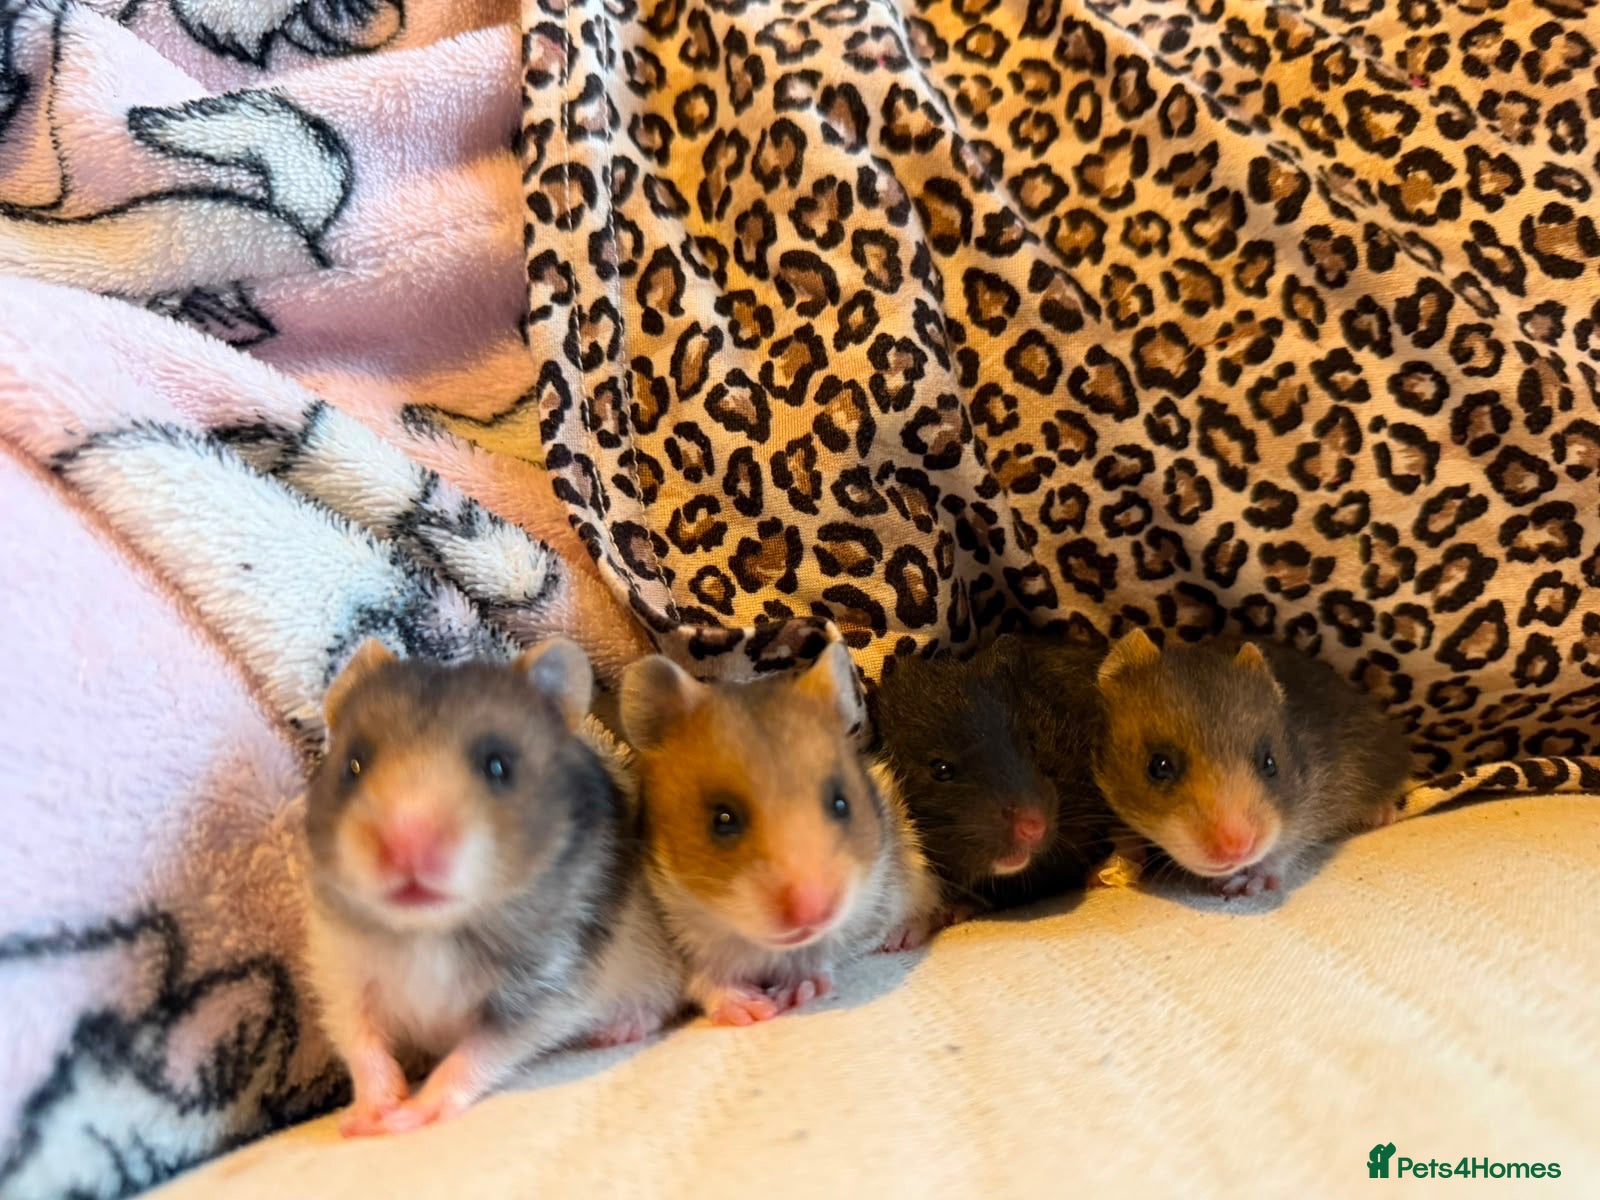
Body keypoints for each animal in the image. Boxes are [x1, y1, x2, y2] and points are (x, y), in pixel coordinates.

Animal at [304, 638, 683, 1137]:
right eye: (353, 765)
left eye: (498, 766)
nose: (406, 847)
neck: (429, 931)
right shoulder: (342, 973)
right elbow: (363, 1044)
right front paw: (367, 1118)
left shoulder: (543, 993)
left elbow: (475, 1054)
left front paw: (413, 1114)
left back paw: (619, 1029)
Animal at [619, 640, 937, 1025]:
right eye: (722, 818)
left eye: (841, 803)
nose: (813, 912)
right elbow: (705, 980)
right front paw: (751, 1011)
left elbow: (820, 952)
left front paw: (796, 992)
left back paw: (903, 936)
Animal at [1093, 629, 1412, 896]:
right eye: (1158, 766)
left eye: (1270, 763)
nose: (1237, 849)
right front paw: (1111, 865)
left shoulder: (1312, 801)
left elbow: (1287, 842)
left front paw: (1248, 880)